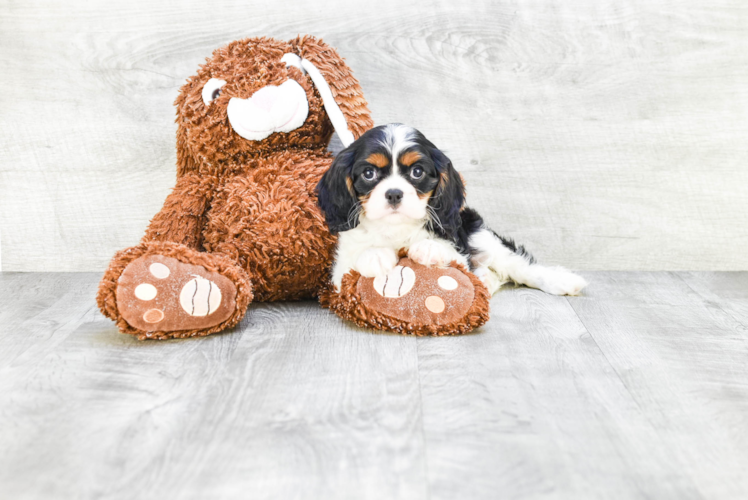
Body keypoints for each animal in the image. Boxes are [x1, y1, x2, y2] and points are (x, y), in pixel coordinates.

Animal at [316, 125, 584, 296]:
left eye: (417, 172)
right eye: (369, 173)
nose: (393, 193)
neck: (396, 228)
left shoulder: (459, 253)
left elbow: (450, 254)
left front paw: (428, 247)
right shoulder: (339, 275)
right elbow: (355, 259)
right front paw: (375, 255)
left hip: (478, 232)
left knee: (519, 266)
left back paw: (563, 281)